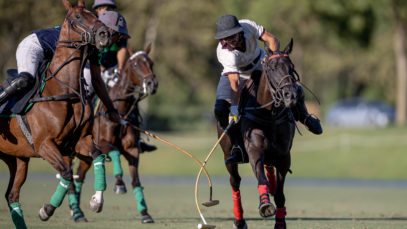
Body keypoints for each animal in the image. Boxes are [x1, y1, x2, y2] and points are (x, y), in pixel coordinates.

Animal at [0, 0, 115, 225]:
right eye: (77, 17)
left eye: (94, 15)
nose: (104, 34)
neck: (64, 89)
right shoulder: (44, 144)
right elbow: (67, 173)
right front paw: (47, 210)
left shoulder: (79, 140)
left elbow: (97, 156)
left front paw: (96, 201)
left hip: (17, 159)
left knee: (12, 195)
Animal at [63, 43, 159, 223]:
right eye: (135, 64)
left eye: (151, 63)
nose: (152, 84)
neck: (120, 111)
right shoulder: (103, 144)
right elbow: (114, 152)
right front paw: (119, 183)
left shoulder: (132, 150)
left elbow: (136, 181)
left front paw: (145, 214)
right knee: (70, 178)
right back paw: (76, 211)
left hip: (86, 156)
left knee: (79, 177)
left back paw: (77, 212)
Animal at [218, 39, 298, 229]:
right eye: (272, 68)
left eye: (291, 67)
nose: (290, 95)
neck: (270, 114)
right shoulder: (254, 149)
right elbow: (261, 178)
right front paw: (265, 205)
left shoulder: (284, 156)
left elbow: (280, 195)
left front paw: (280, 224)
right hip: (228, 155)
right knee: (235, 182)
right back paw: (239, 221)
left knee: (269, 171)